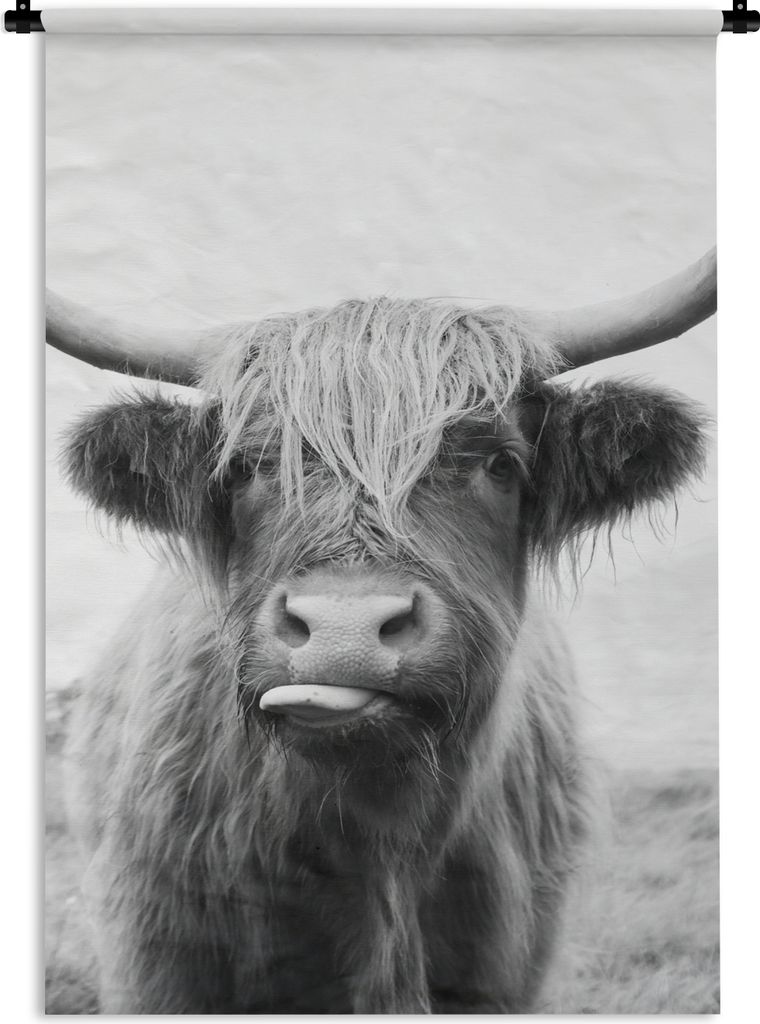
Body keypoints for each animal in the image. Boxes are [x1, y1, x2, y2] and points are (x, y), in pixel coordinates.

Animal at [50, 248, 716, 1014]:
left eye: (500, 464)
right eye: (244, 467)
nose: (345, 629)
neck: (379, 836)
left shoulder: (501, 973)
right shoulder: (158, 961)